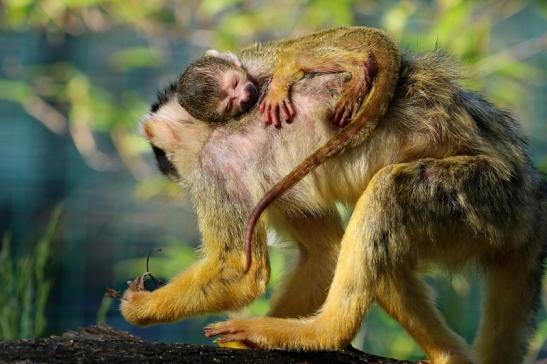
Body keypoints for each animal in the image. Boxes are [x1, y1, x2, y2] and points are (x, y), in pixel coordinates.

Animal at [177, 26, 386, 128]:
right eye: (230, 104)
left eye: (235, 83)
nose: (244, 96)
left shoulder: (254, 62)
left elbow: (287, 56)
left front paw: (276, 92)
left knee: (299, 54)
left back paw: (360, 67)